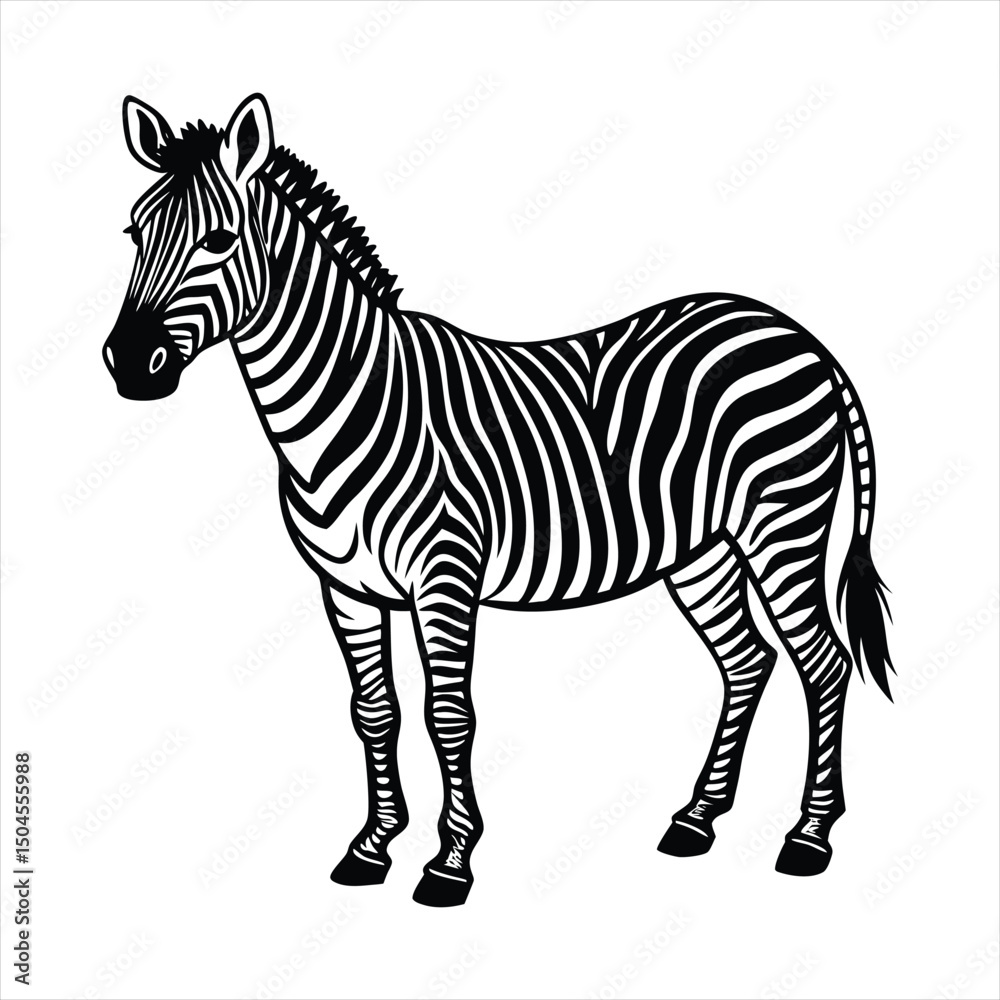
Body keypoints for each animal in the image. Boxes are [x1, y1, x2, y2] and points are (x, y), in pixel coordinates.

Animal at [103, 94, 893, 907]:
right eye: (133, 231)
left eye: (219, 241)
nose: (128, 364)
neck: (349, 404)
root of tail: (797, 333)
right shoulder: (345, 588)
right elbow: (375, 712)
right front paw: (372, 847)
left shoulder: (444, 574)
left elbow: (448, 715)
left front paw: (450, 863)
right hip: (699, 550)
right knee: (747, 661)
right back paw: (696, 820)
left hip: (783, 522)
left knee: (823, 663)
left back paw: (809, 837)